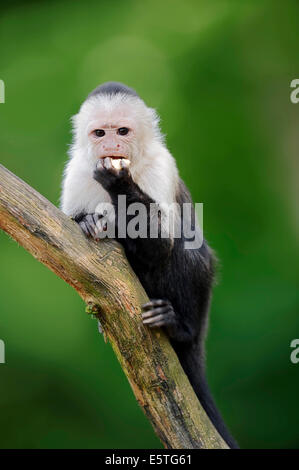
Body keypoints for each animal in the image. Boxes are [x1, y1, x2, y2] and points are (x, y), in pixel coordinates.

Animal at [61, 81, 239, 448]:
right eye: (99, 133)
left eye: (122, 131)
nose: (111, 145)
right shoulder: (75, 174)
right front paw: (87, 220)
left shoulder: (161, 167)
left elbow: (160, 247)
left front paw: (119, 185)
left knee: (188, 251)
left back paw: (178, 326)